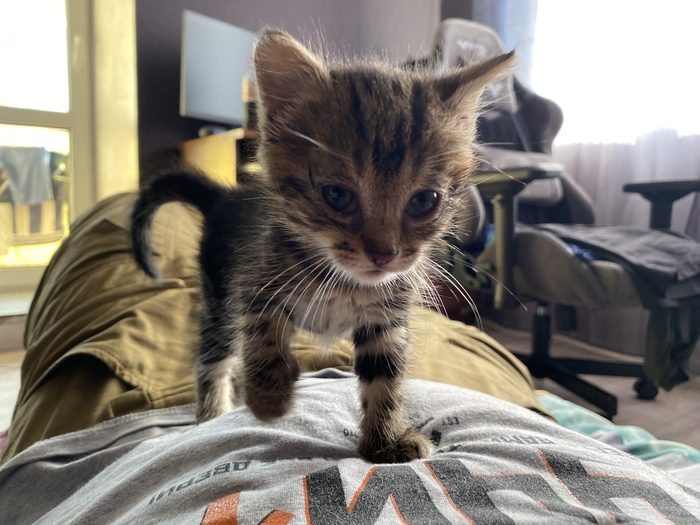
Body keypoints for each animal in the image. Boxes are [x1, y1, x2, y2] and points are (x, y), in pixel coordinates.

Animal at [130, 28, 515, 463]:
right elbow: (264, 337)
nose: (383, 253)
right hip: (218, 300)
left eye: (424, 201)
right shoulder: (255, 282)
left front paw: (385, 441)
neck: (345, 280)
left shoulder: (386, 316)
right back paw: (212, 415)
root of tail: (224, 197)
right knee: (212, 359)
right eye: (337, 196)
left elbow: (384, 374)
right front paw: (269, 399)